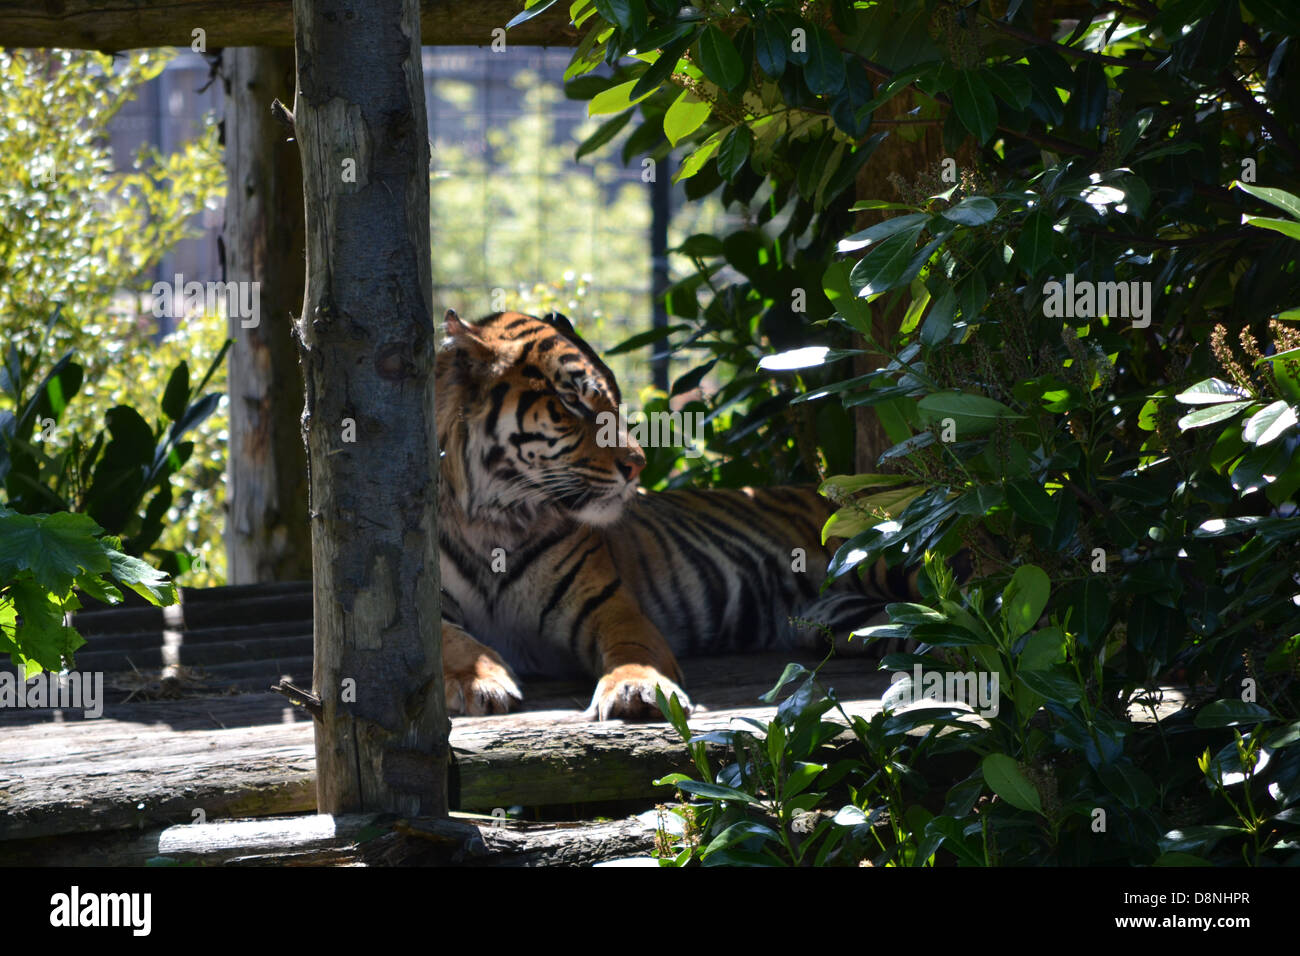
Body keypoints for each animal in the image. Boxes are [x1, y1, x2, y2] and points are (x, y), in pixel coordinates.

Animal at [436, 310, 915, 723]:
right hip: (848, 616)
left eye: (614, 401)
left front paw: (639, 690)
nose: (637, 465)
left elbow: (632, 647)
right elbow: (450, 639)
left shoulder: (609, 604)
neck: (497, 519)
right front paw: (480, 681)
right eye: (572, 402)